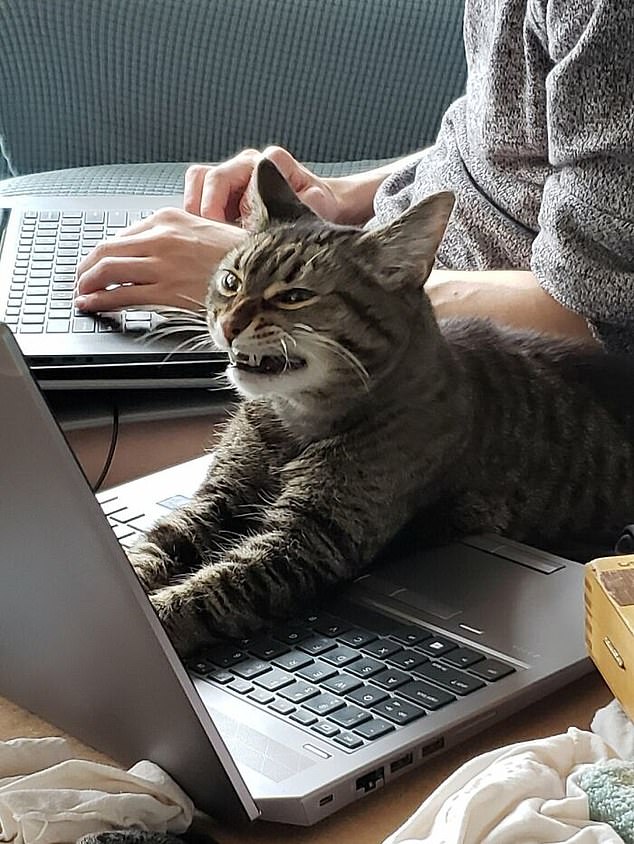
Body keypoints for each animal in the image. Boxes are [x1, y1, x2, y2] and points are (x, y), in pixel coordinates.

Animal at [127, 160, 632, 660]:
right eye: (231, 282)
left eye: (295, 296)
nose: (228, 325)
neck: (294, 422)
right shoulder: (216, 499)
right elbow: (150, 549)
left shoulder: (309, 541)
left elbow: (208, 592)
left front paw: (158, 618)